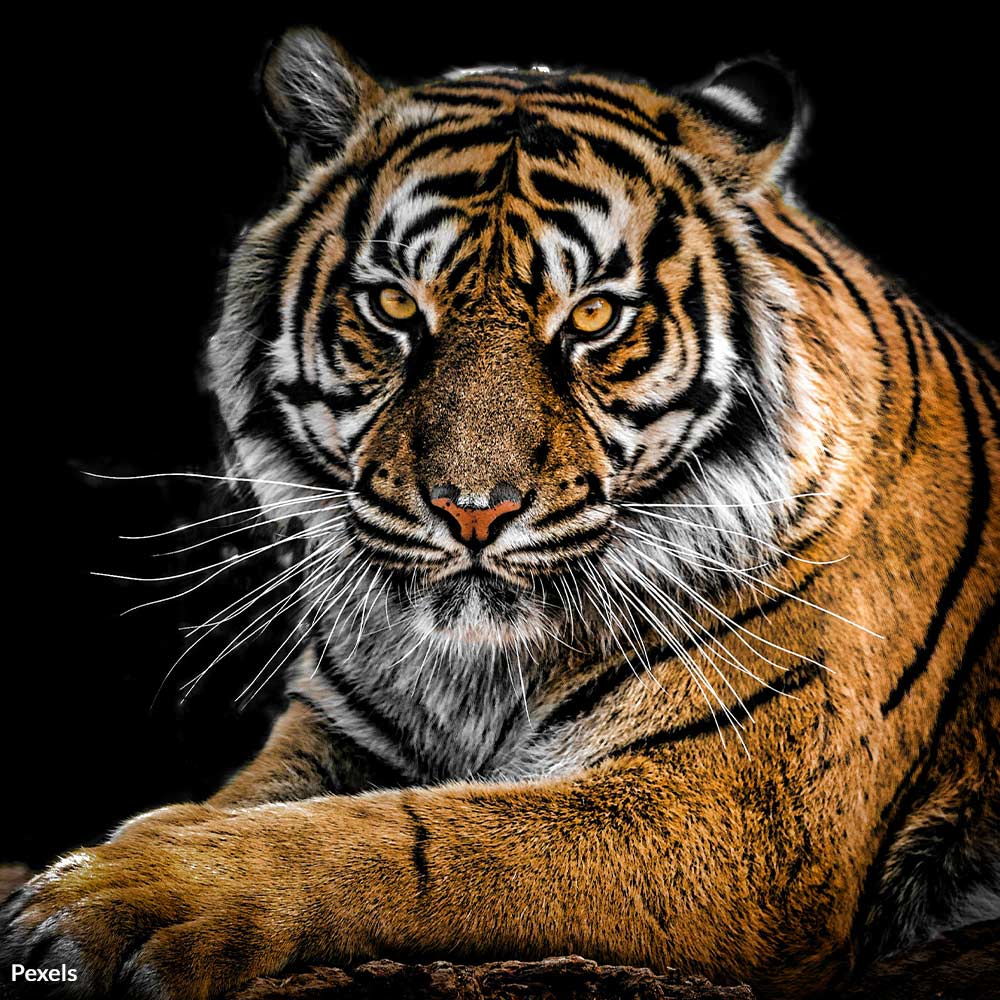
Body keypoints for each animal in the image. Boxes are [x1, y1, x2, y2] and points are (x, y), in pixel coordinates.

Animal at [2, 26, 997, 1000]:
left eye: (593, 317)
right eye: (394, 305)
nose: (473, 511)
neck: (476, 675)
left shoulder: (740, 816)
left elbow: (410, 839)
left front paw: (124, 893)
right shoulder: (335, 730)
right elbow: (251, 803)